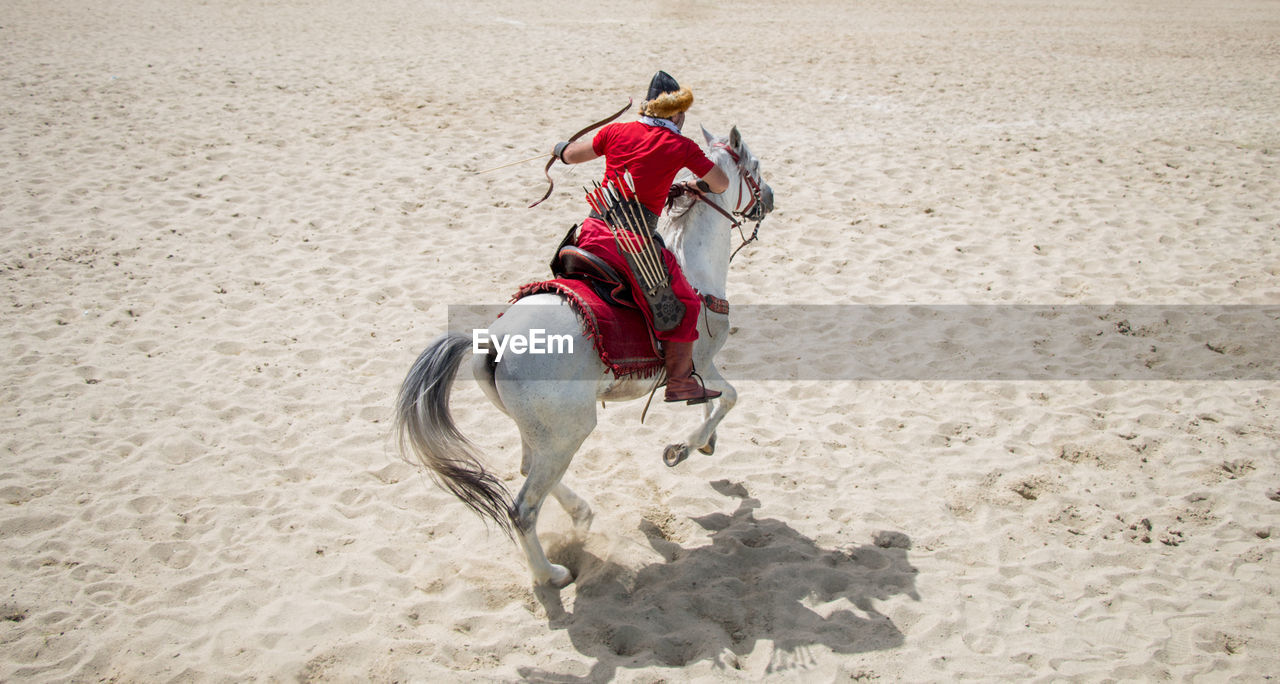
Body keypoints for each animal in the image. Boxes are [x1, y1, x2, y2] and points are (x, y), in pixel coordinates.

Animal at [391, 126, 768, 586]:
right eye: (754, 169)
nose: (769, 198)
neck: (691, 265)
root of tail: (491, 342)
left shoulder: (702, 368)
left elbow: (712, 400)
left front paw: (705, 441)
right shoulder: (702, 361)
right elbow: (728, 397)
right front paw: (685, 447)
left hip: (541, 430)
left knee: (527, 468)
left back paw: (581, 514)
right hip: (567, 431)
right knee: (523, 509)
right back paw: (550, 574)